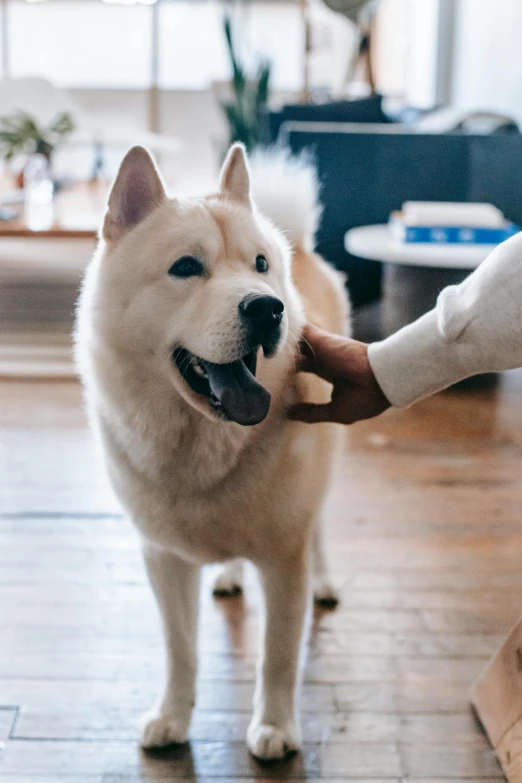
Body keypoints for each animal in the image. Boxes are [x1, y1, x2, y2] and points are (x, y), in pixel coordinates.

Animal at [74, 144, 346, 764]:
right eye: (185, 268)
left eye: (260, 264)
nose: (268, 309)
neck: (201, 443)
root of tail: (302, 244)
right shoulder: (162, 559)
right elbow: (182, 651)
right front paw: (172, 717)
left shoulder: (284, 559)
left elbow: (278, 657)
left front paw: (275, 727)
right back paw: (226, 573)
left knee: (321, 526)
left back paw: (324, 581)